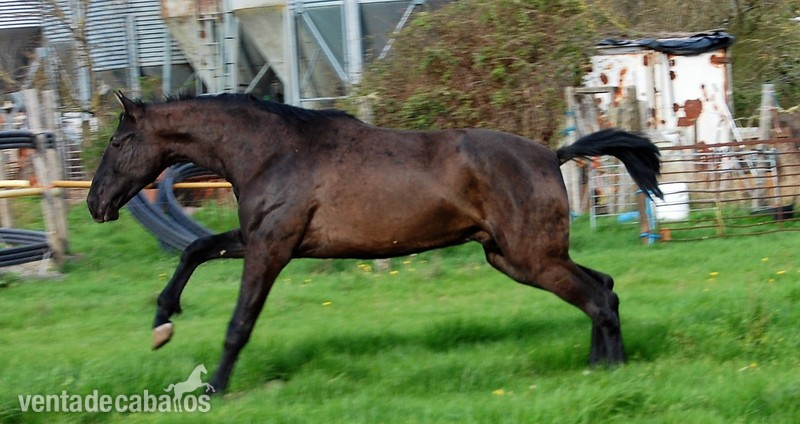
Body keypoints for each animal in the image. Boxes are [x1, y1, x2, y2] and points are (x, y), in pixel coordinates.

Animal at [87, 91, 662, 393]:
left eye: (117, 141)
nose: (95, 204)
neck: (271, 152)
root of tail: (552, 155)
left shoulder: (272, 248)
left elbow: (239, 324)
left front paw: (215, 388)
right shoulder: (260, 239)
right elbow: (195, 250)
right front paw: (162, 322)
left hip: (532, 257)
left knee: (599, 297)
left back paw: (611, 372)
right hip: (514, 258)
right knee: (604, 287)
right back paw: (598, 365)